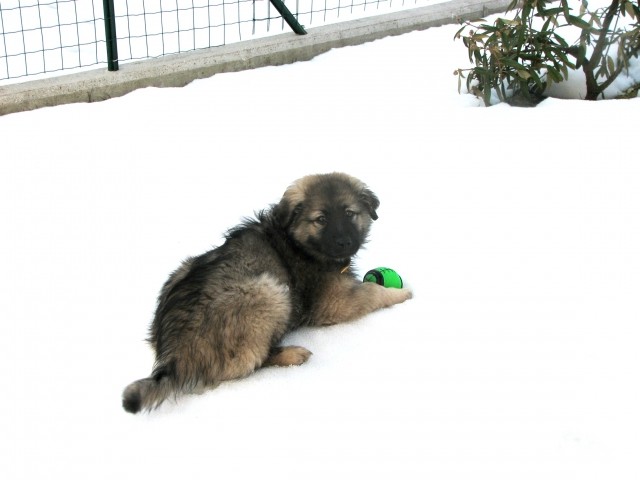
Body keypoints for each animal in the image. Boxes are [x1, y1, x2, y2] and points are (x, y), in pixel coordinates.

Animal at [122, 172, 412, 412]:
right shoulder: (335, 301)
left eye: (350, 213)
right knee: (245, 362)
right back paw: (292, 353)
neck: (297, 241)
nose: (344, 242)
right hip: (269, 292)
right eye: (321, 219)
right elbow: (372, 292)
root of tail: (175, 355)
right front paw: (401, 294)